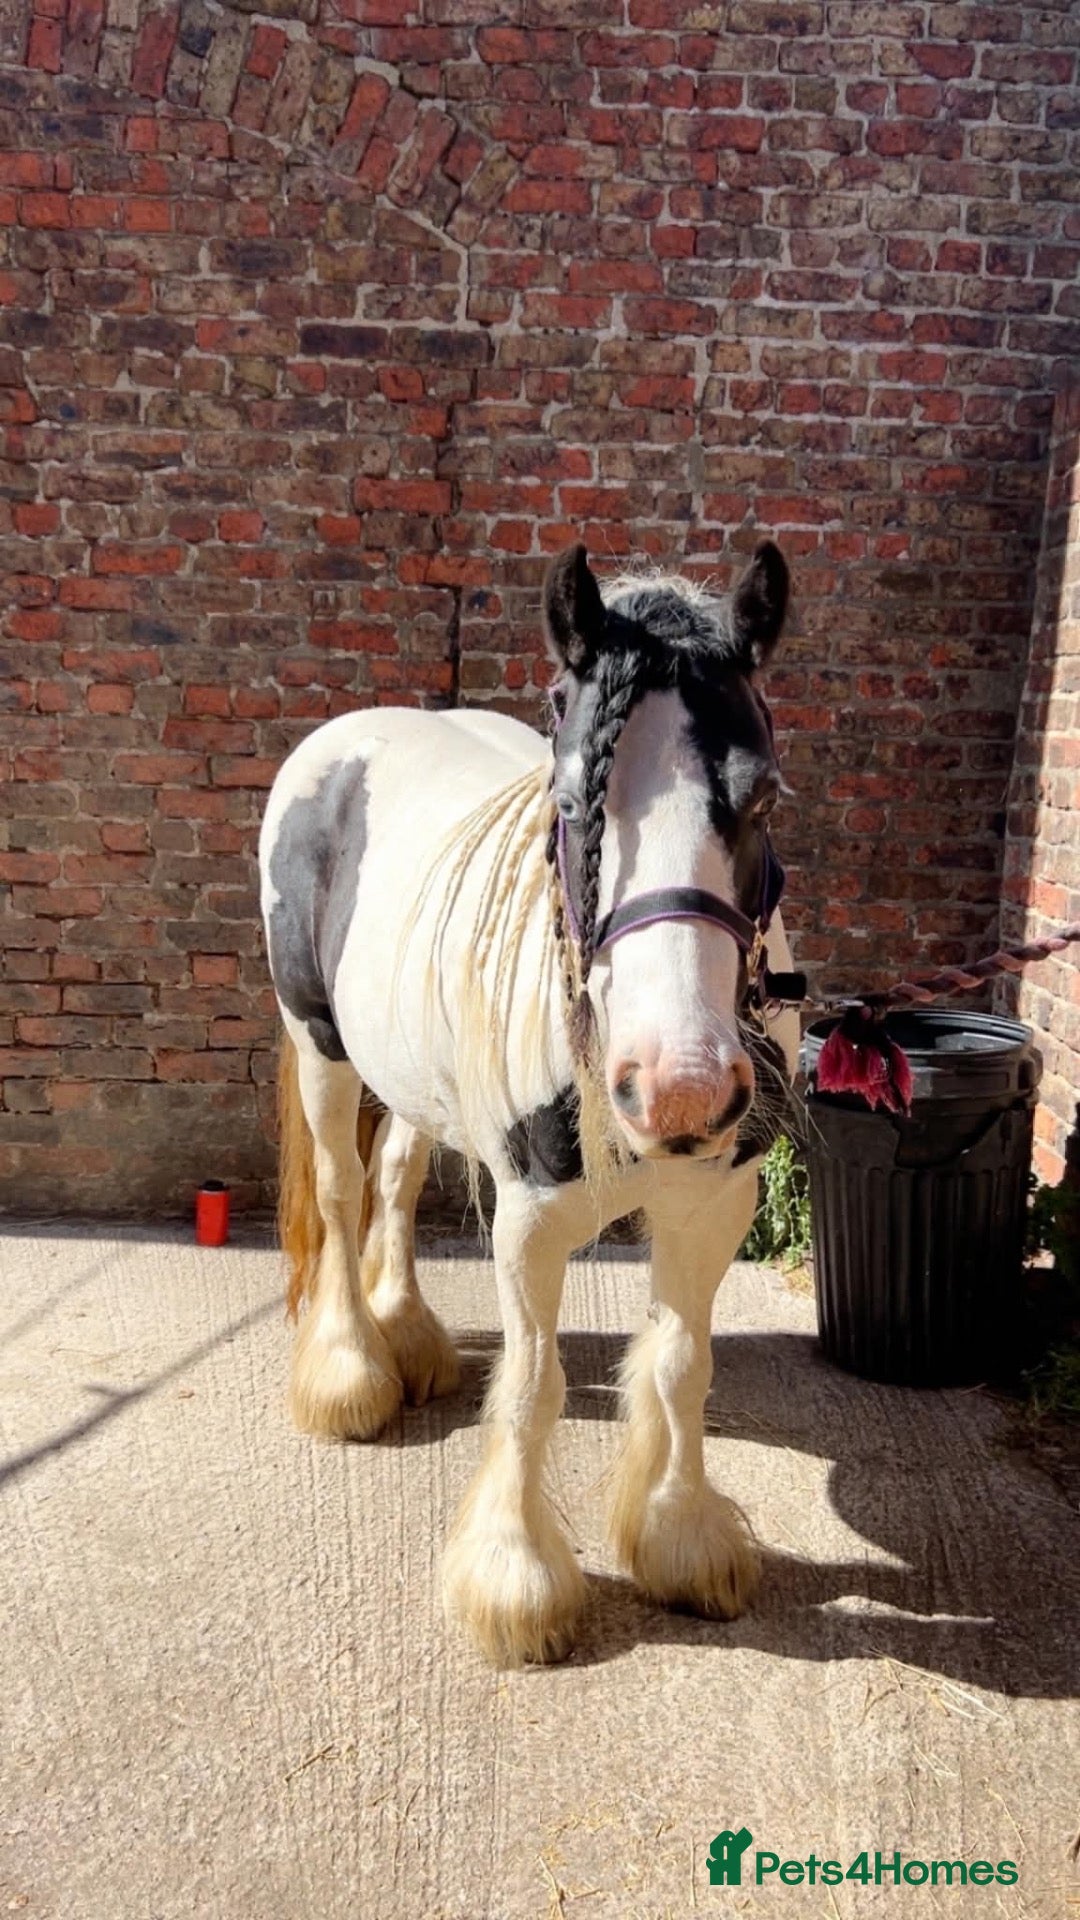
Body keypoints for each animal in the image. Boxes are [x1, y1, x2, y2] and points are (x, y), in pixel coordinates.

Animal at [258, 539, 800, 1667]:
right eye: (572, 802)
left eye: (765, 800)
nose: (679, 1089)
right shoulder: (533, 1218)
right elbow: (535, 1385)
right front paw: (517, 1582)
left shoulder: (713, 1202)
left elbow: (682, 1366)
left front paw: (683, 1540)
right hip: (320, 1043)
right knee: (340, 1193)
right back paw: (351, 1373)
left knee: (394, 1180)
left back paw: (409, 1338)